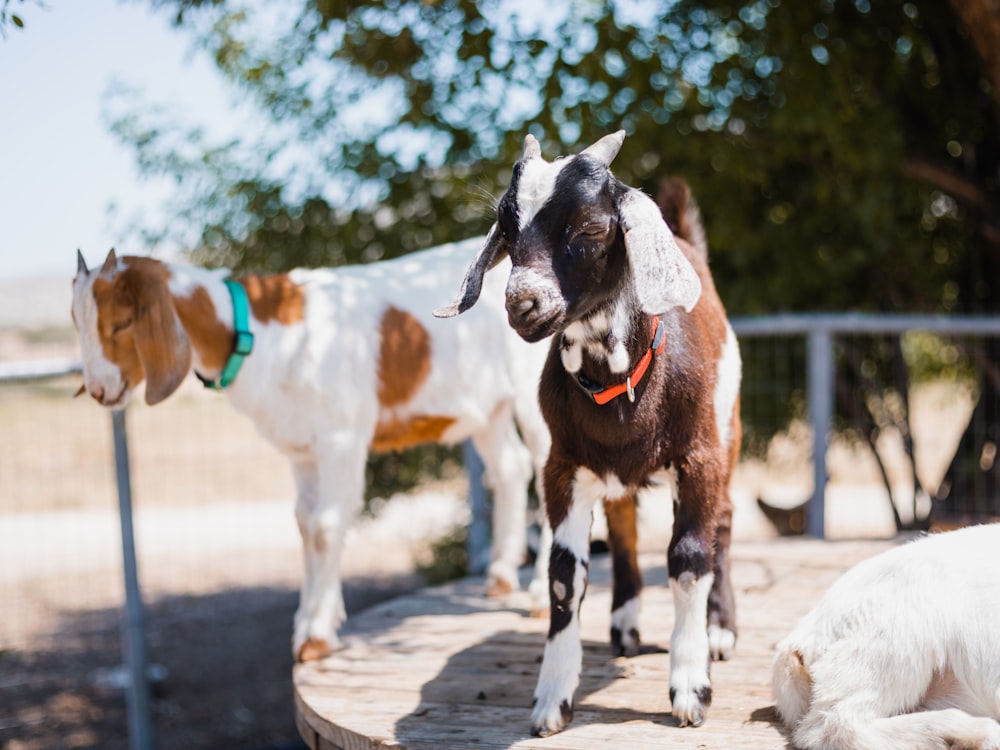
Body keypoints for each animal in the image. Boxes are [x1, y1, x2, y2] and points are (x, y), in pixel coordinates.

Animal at [74, 241, 552, 664]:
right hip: (487, 407)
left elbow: (325, 527)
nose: (98, 391)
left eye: (122, 324)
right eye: (78, 325)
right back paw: (500, 575)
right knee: (510, 467)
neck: (260, 335)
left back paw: (541, 596)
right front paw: (306, 622)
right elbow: (303, 525)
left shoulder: (340, 437)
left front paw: (317, 636)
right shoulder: (300, 450)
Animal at [438, 132, 744, 736]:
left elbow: (689, 558)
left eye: (590, 228)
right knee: (624, 529)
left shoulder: (698, 459)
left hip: (729, 431)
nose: (522, 302)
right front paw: (552, 699)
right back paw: (624, 625)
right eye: (506, 226)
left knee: (722, 521)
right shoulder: (563, 468)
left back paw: (720, 630)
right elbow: (562, 576)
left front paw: (690, 688)